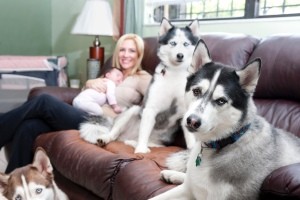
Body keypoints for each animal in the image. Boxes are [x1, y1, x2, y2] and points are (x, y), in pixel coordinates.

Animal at [79, 18, 199, 153]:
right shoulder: (150, 108)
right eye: (173, 43)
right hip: (133, 110)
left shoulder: (186, 112)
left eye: (186, 44)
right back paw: (107, 138)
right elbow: (144, 132)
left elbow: (191, 138)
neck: (175, 73)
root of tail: (127, 137)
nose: (180, 55)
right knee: (115, 133)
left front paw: (193, 151)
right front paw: (141, 150)